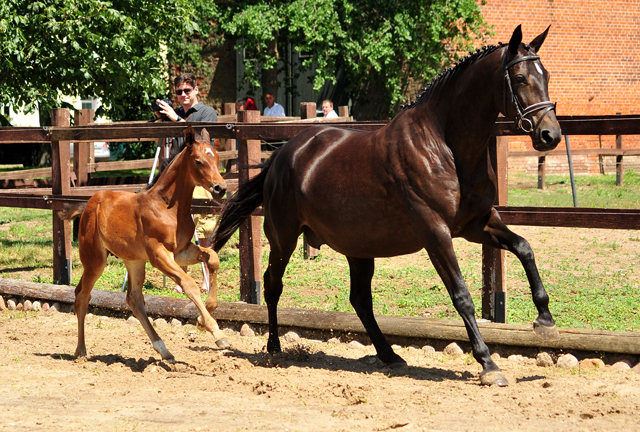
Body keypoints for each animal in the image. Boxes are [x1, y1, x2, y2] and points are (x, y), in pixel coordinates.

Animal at [60, 127, 229, 362]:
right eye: (198, 161)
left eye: (217, 158)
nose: (220, 188)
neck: (167, 206)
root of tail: (88, 205)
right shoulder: (159, 255)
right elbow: (189, 284)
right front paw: (216, 332)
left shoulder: (180, 252)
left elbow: (212, 258)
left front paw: (206, 316)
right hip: (95, 261)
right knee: (82, 296)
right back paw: (81, 351)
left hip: (135, 261)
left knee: (134, 299)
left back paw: (164, 350)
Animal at [214, 26, 560, 384]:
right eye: (519, 78)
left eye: (546, 75)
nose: (550, 135)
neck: (445, 147)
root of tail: (282, 155)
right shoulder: (435, 233)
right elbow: (462, 296)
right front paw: (488, 364)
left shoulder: (477, 223)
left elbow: (524, 247)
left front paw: (545, 322)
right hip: (284, 238)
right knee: (272, 285)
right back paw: (274, 347)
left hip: (358, 246)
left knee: (359, 299)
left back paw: (389, 355)